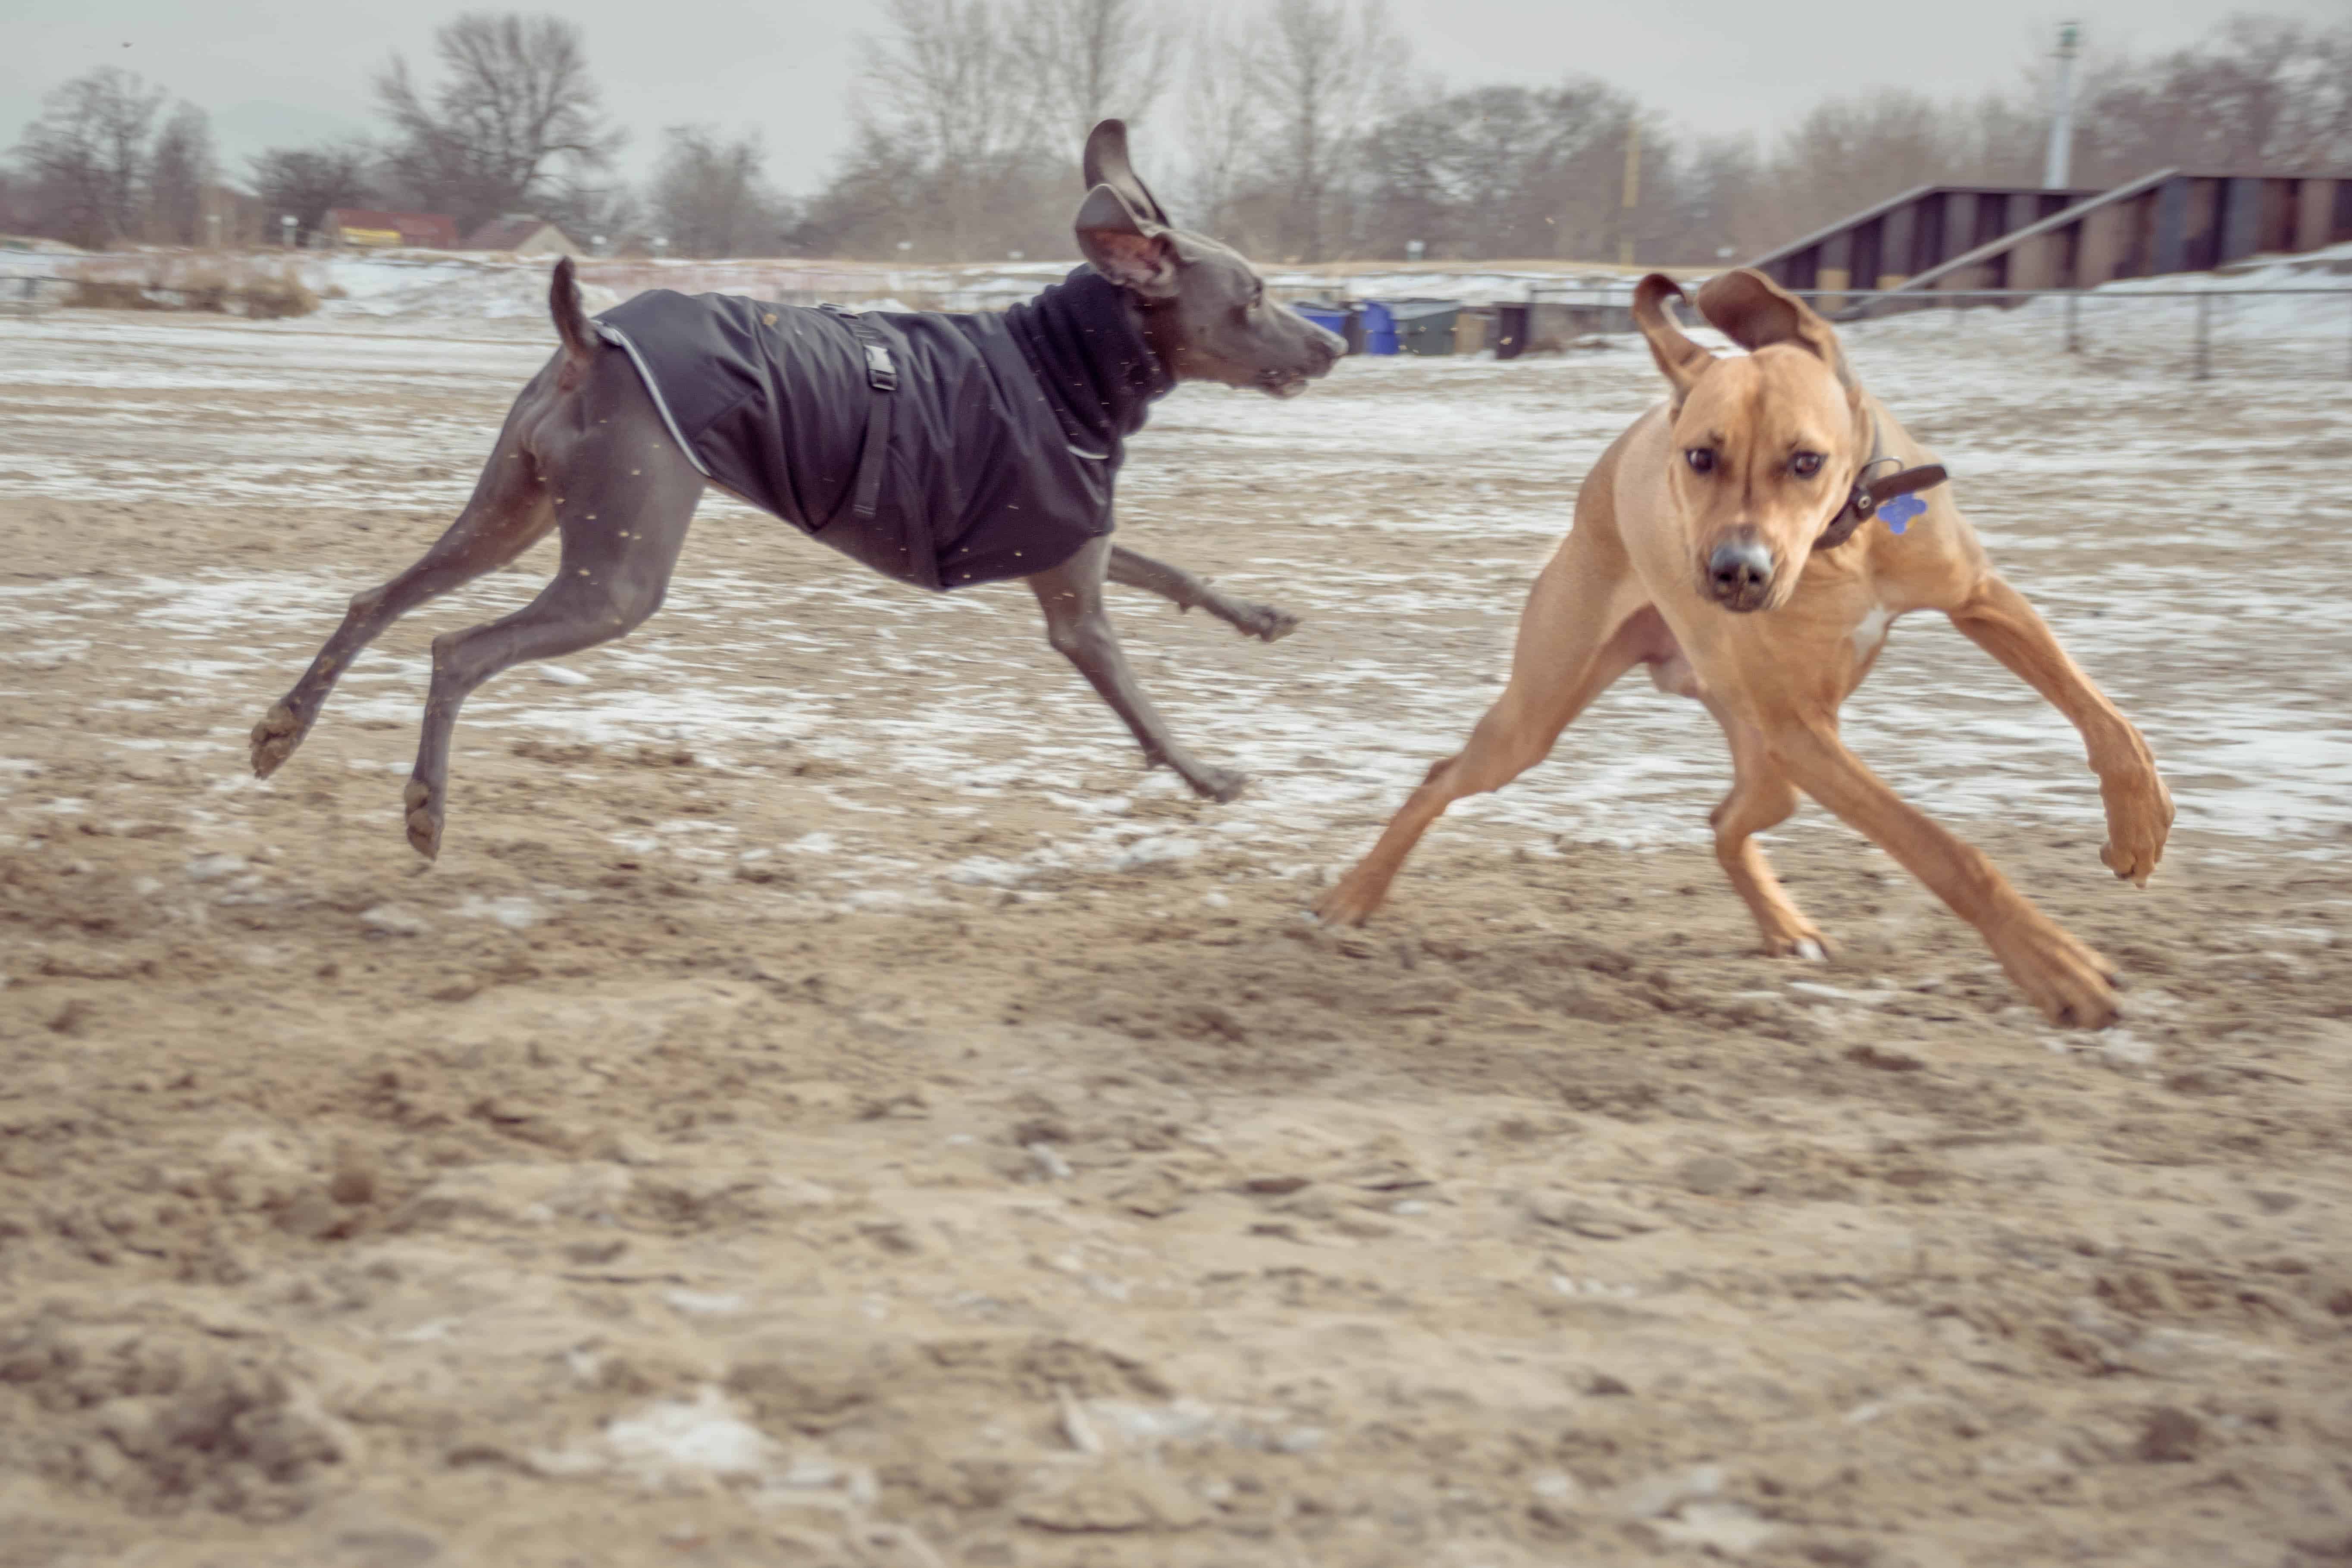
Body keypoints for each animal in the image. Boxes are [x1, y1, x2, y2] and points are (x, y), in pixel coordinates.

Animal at [250, 121, 1345, 860]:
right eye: (1253, 297)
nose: (1336, 344)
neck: (1061, 362)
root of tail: (589, 336)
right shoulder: (1075, 611)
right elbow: (1146, 713)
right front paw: (1209, 776)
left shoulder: (1069, 541)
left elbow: (1177, 573)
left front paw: (1260, 616)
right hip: (620, 570)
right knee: (457, 650)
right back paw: (423, 809)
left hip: (509, 512)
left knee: (376, 598)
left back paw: (280, 730)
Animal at [1317, 270, 2173, 1030]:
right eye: (1700, 457)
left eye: (1806, 460)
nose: (1736, 572)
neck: (1845, 542)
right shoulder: (1806, 730)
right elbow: (1941, 850)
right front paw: (2058, 967)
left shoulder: (1979, 598)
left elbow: (2105, 716)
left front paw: (2138, 825)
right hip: (1545, 711)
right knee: (1445, 775)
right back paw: (1354, 894)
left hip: (1768, 761)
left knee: (1726, 817)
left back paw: (1783, 925)